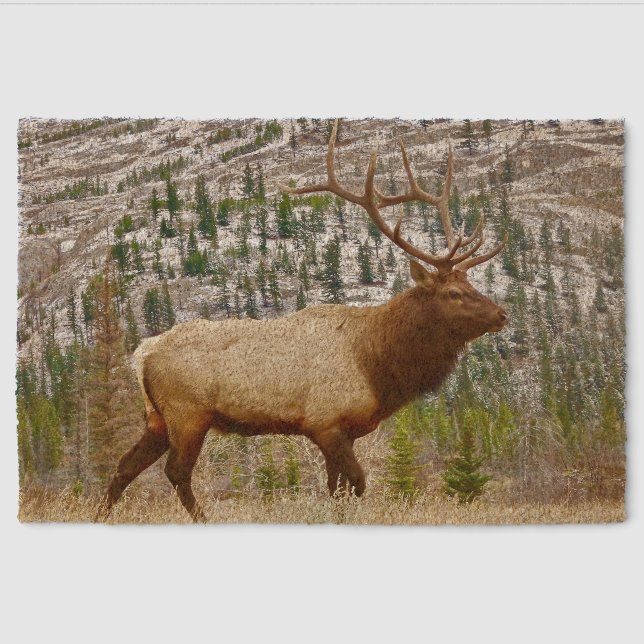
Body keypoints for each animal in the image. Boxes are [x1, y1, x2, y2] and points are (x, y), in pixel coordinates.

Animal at [97, 121, 508, 523]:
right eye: (452, 293)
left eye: (470, 283)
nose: (501, 314)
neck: (378, 365)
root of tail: (142, 354)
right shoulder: (324, 423)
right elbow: (357, 484)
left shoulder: (345, 431)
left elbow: (338, 490)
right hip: (188, 413)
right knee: (176, 472)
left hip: (157, 419)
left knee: (124, 466)